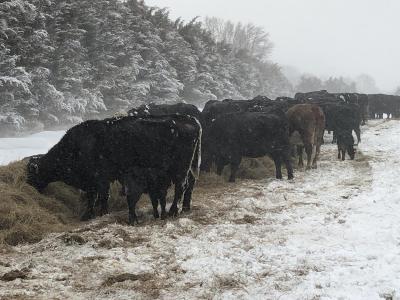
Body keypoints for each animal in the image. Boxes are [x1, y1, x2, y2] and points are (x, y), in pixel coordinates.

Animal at [27, 114, 202, 223]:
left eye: (32, 173)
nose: (28, 185)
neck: (77, 147)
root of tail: (191, 120)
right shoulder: (94, 182)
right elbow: (94, 197)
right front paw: (90, 214)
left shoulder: (100, 179)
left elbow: (100, 197)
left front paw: (98, 213)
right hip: (188, 167)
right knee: (190, 183)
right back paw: (185, 208)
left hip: (180, 169)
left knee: (181, 186)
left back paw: (173, 211)